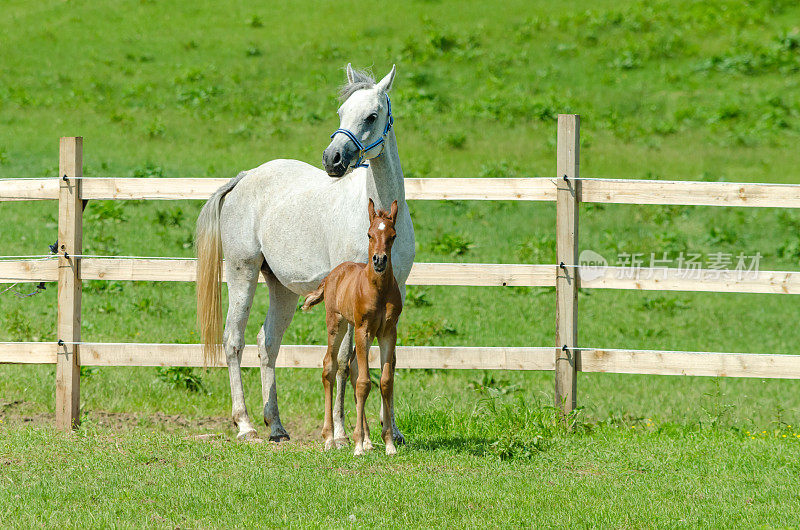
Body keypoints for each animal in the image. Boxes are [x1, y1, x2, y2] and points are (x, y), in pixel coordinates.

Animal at [300, 198, 400, 454]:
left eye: (393, 235)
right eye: (369, 234)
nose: (379, 260)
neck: (378, 290)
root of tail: (331, 275)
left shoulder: (388, 332)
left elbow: (385, 381)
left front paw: (388, 444)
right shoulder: (363, 329)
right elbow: (364, 383)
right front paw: (356, 445)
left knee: (353, 369)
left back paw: (367, 440)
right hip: (337, 323)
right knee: (329, 366)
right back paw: (329, 438)